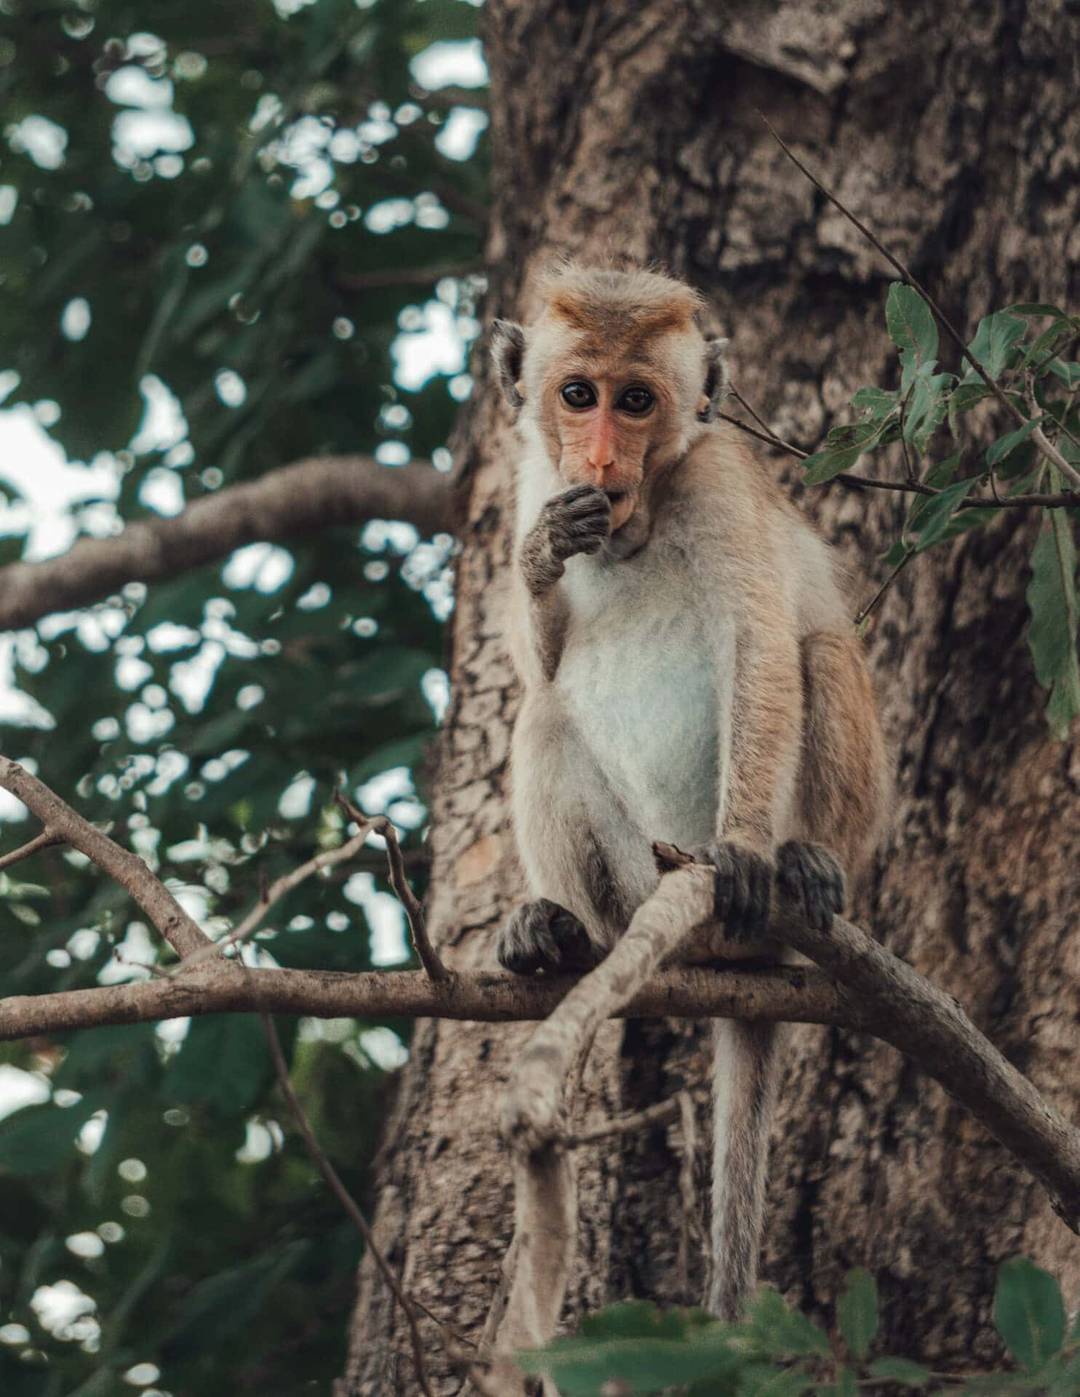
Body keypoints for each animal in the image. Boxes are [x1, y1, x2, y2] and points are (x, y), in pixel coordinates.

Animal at [490, 263, 889, 1320]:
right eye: (577, 393)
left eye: (637, 401)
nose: (599, 455)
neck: (637, 523)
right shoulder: (532, 480)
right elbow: (538, 666)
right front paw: (543, 555)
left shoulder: (718, 486)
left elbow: (761, 645)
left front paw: (748, 846)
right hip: (638, 874)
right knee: (543, 719)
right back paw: (564, 933)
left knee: (818, 652)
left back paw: (800, 864)